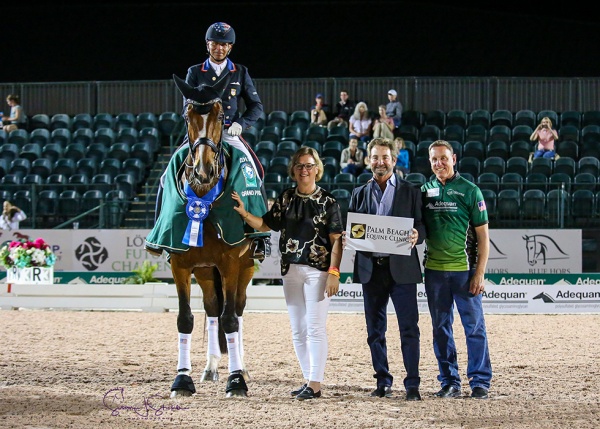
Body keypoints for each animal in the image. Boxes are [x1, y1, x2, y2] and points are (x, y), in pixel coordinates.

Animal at [146, 74, 264, 398]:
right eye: (187, 116)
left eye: (222, 116)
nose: (203, 171)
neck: (202, 197)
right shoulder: (181, 265)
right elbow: (185, 319)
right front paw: (181, 380)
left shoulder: (231, 263)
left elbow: (230, 319)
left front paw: (236, 381)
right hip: (205, 271)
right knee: (212, 309)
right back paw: (210, 367)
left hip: (244, 267)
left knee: (236, 310)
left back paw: (241, 367)